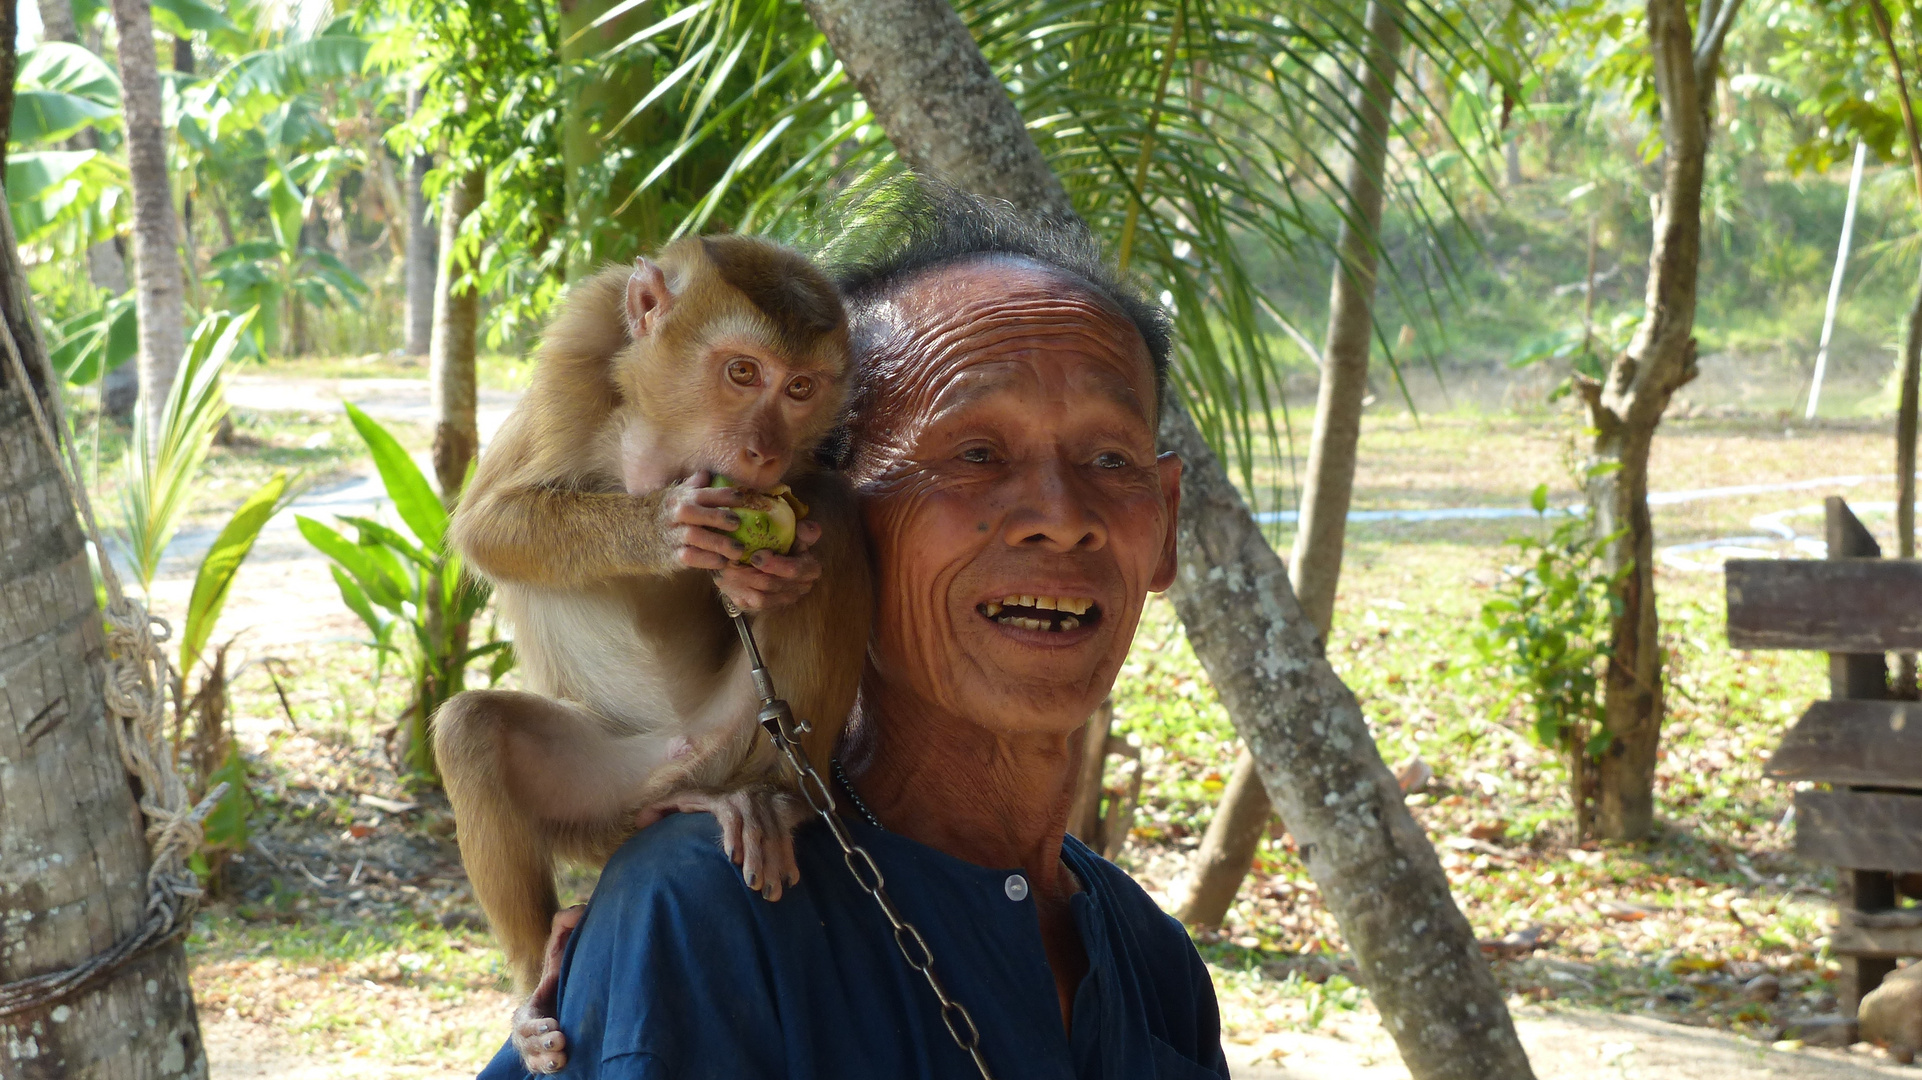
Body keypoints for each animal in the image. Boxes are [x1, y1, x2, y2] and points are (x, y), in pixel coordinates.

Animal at [436, 231, 872, 999]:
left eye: (799, 389)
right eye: (741, 371)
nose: (763, 453)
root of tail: (683, 771)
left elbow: (816, 514)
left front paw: (775, 580)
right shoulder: (576, 349)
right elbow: (488, 526)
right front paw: (663, 529)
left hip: (742, 737)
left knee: (841, 519)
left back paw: (781, 797)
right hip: (600, 786)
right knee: (471, 728)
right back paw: (536, 972)